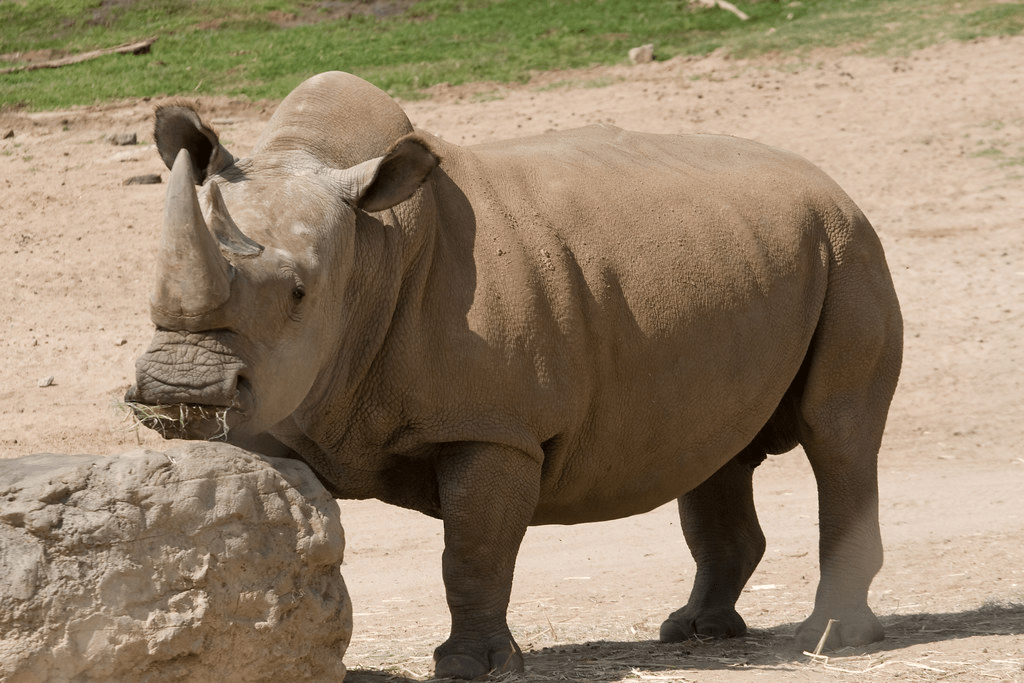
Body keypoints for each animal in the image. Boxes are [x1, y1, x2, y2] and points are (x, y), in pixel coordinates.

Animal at [126, 71, 902, 679]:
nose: (179, 388)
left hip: (849, 247)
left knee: (838, 435)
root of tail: (829, 181)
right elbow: (258, 536)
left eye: (297, 294)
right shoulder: (273, 416)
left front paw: (473, 666)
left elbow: (473, 551)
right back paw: (697, 631)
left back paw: (828, 640)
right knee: (715, 448)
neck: (372, 246)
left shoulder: (493, 429)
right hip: (753, 255)